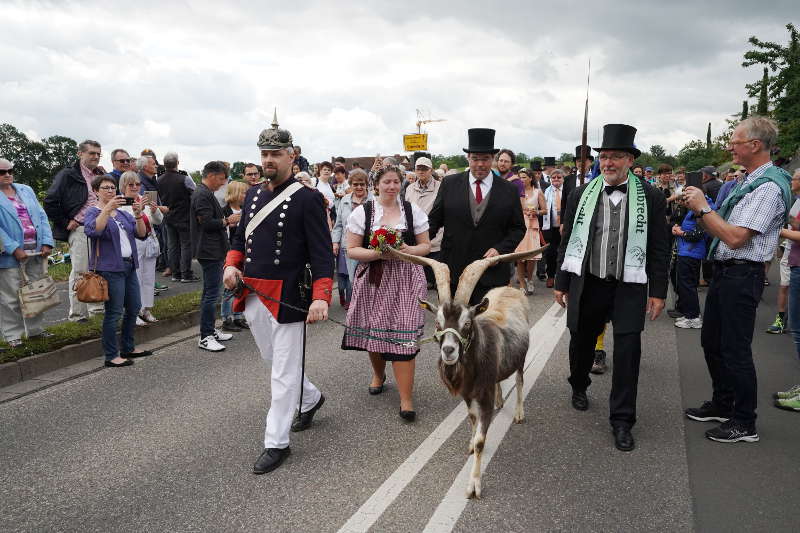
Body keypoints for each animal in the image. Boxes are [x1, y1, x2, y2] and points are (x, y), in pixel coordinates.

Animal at [386, 245, 544, 498]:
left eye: (467, 323)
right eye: (438, 323)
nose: (449, 351)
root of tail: (511, 289)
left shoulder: (483, 396)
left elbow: (481, 439)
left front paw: (473, 486)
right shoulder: (468, 395)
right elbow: (472, 419)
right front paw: (469, 446)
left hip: (521, 359)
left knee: (520, 381)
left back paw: (519, 413)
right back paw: (501, 400)